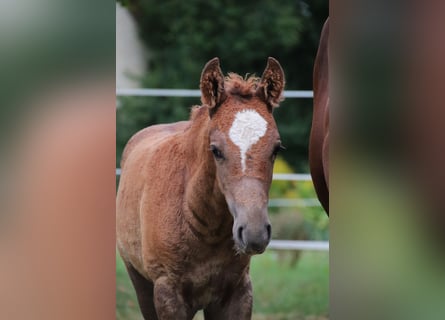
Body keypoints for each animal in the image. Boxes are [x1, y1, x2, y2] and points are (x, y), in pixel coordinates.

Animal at [116, 58, 284, 320]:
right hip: (140, 281)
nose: (254, 232)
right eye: (215, 150)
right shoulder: (167, 294)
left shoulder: (238, 292)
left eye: (276, 149)